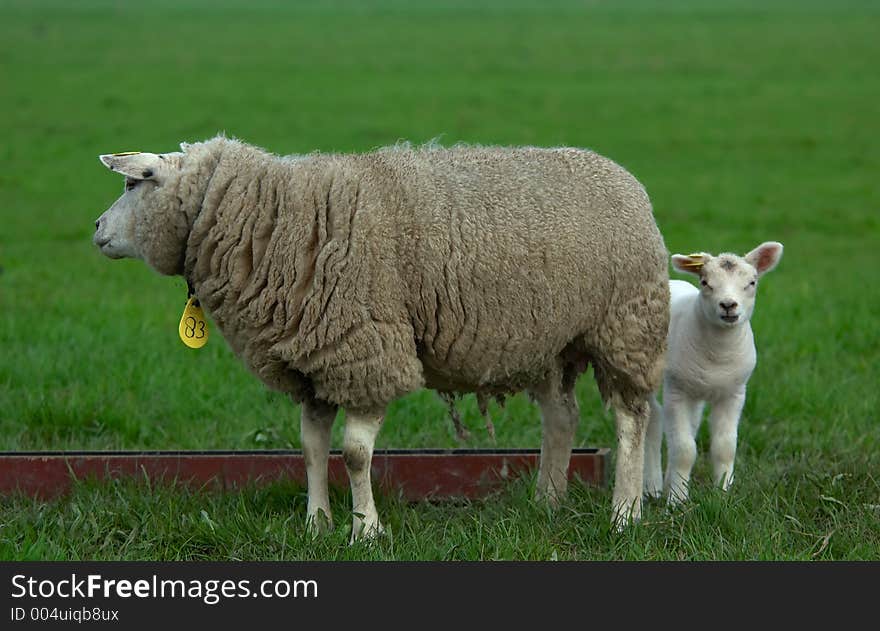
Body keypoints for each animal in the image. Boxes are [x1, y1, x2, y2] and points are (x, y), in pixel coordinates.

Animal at [93, 137, 672, 540]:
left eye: (133, 184)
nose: (96, 230)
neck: (275, 218)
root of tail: (627, 180)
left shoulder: (366, 350)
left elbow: (353, 454)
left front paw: (365, 529)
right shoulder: (316, 360)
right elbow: (310, 447)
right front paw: (318, 524)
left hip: (625, 326)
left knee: (630, 421)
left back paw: (625, 513)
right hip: (551, 340)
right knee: (562, 417)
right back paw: (547, 501)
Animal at [640, 241, 784, 504]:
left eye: (752, 282)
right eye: (705, 282)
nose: (728, 305)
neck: (718, 357)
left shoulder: (734, 394)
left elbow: (724, 447)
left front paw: (723, 493)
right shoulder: (677, 391)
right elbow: (685, 449)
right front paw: (677, 501)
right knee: (654, 421)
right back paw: (652, 487)